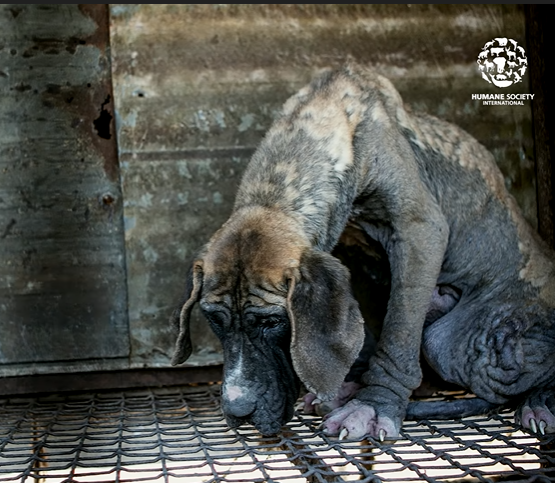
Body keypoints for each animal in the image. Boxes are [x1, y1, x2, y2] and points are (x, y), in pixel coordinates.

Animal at [170, 64, 555, 442]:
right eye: (214, 320)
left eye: (273, 322)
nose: (238, 410)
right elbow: (364, 331)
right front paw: (347, 385)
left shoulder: (419, 230)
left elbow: (397, 334)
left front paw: (372, 405)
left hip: (453, 340)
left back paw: (539, 403)